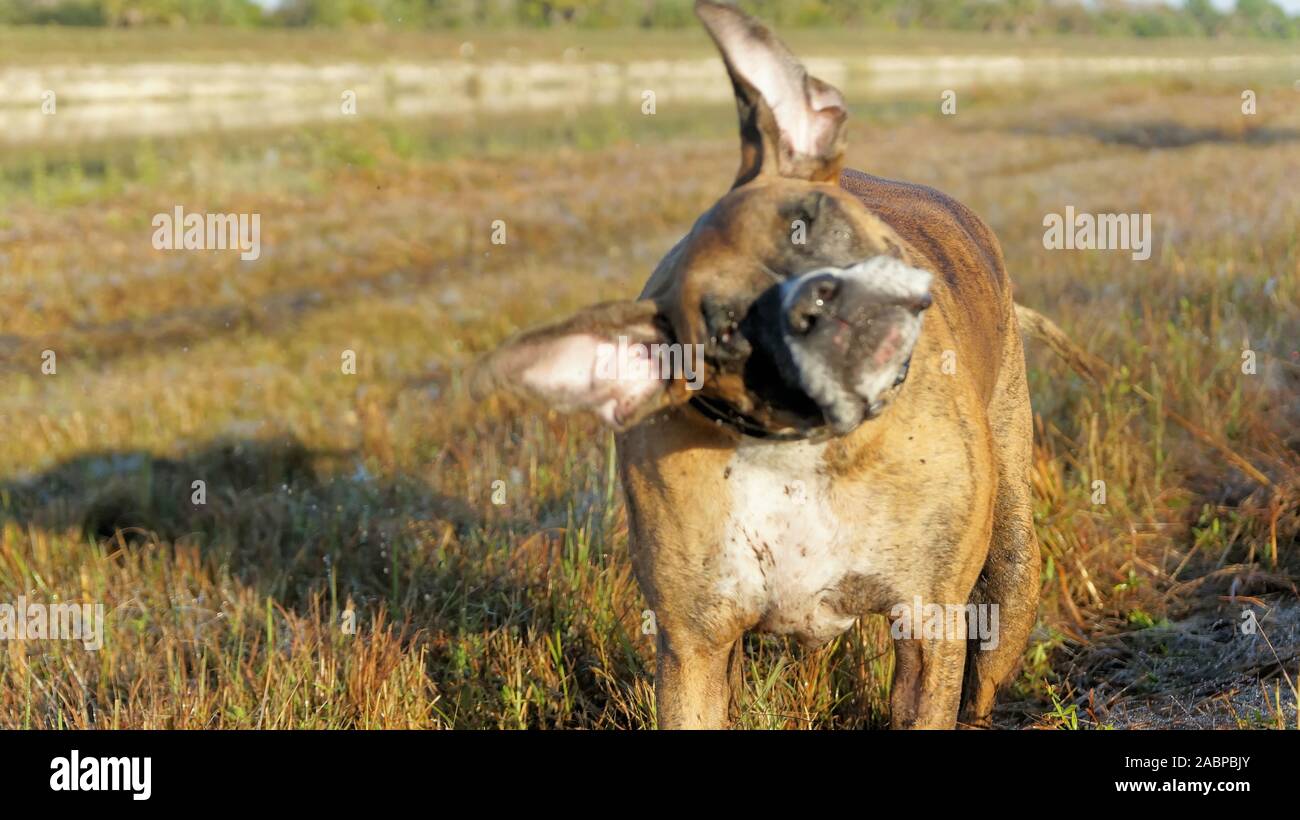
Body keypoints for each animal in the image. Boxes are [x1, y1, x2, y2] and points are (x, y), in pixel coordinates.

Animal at [473, 0, 1040, 732]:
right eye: (726, 331)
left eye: (808, 221)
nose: (812, 300)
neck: (802, 453)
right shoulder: (694, 649)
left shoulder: (928, 625)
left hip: (1011, 569)